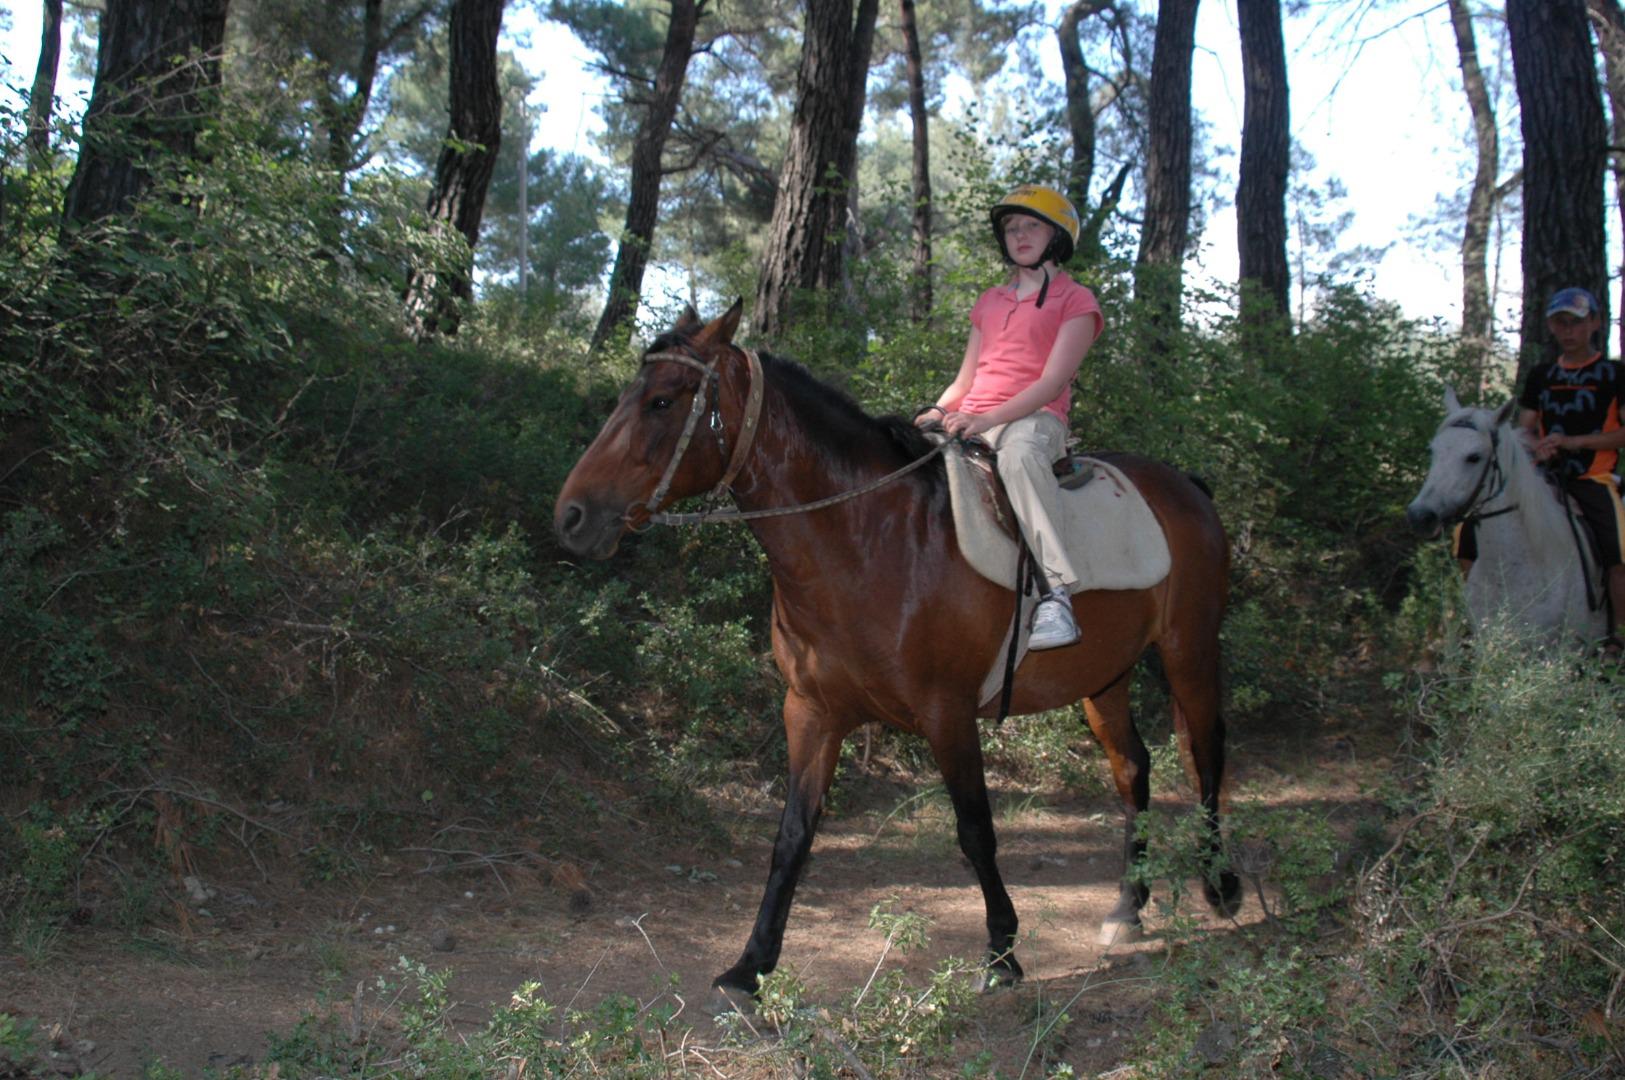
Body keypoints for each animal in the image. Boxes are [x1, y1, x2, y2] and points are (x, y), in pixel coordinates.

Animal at [554, 302, 1241, 1002]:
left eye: (662, 401)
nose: (572, 516)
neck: (870, 539)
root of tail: (1186, 485)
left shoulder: (948, 713)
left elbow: (975, 830)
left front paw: (1003, 952)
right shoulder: (811, 712)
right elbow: (792, 836)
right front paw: (752, 963)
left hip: (1188, 650)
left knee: (1205, 754)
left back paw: (1219, 885)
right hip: (1105, 677)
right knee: (1133, 769)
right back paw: (1128, 908)